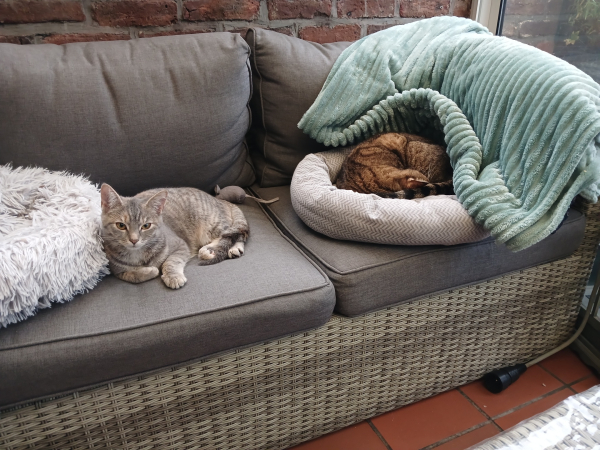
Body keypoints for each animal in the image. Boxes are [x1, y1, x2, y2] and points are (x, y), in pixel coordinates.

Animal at [100, 184, 249, 289]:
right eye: (121, 225)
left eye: (146, 225)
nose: (134, 240)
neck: (138, 254)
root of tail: (219, 200)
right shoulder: (116, 270)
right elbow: (131, 275)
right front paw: (150, 271)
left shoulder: (181, 245)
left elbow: (171, 261)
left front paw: (173, 276)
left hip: (213, 225)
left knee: (235, 233)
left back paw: (225, 249)